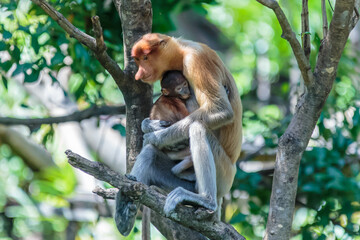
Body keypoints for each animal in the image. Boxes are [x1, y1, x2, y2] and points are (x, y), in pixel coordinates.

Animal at [115, 33, 243, 236]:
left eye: (145, 58)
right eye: (138, 60)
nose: (139, 74)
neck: (182, 51)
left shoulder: (196, 61)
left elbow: (220, 110)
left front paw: (153, 135)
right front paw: (148, 125)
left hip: (224, 174)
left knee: (198, 127)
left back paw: (206, 200)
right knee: (150, 154)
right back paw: (126, 206)